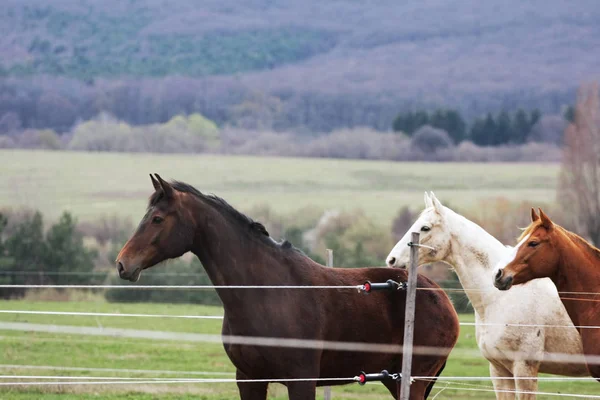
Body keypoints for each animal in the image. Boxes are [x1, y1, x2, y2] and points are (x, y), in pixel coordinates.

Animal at [115, 175, 460, 400]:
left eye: (157, 219)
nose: (122, 264)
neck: (266, 292)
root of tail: (441, 298)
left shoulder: (301, 381)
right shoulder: (250, 379)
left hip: (412, 380)